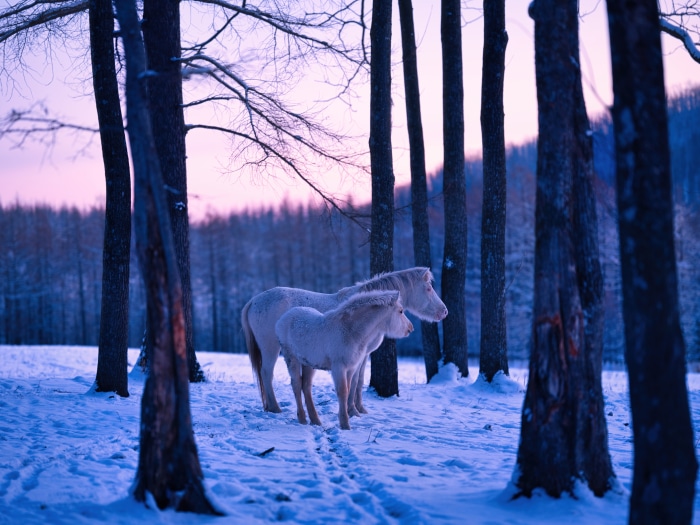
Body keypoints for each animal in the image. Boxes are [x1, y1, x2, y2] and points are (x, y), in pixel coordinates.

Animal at [241, 267, 448, 414]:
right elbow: (354, 381)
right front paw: (352, 410)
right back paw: (275, 408)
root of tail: (254, 301)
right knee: (266, 373)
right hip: (270, 348)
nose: (444, 312)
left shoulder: (363, 354)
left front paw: (360, 409)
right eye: (429, 288)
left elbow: (359, 380)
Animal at [275, 290, 414, 430]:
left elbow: (349, 388)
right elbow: (342, 391)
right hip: (291, 359)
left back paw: (315, 420)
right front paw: (345, 424)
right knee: (297, 385)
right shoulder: (339, 368)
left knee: (306, 386)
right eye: (400, 311)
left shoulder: (351, 368)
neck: (350, 331)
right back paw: (302, 419)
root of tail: (284, 318)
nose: (410, 328)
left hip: (308, 364)